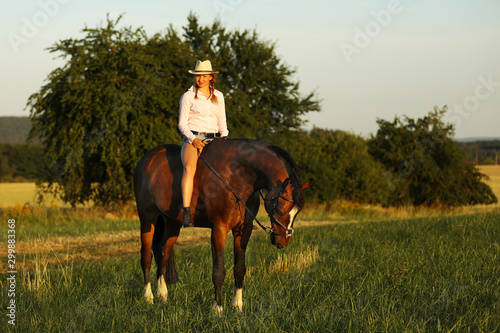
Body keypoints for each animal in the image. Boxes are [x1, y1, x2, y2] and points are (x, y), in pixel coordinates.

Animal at [135, 137, 310, 312]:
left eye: (297, 212)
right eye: (279, 210)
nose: (282, 242)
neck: (238, 177)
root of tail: (148, 158)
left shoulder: (243, 230)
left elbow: (239, 268)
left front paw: (238, 306)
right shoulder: (219, 229)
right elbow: (218, 271)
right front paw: (217, 308)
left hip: (172, 223)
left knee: (162, 252)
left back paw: (162, 295)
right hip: (147, 218)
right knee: (146, 256)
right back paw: (148, 297)